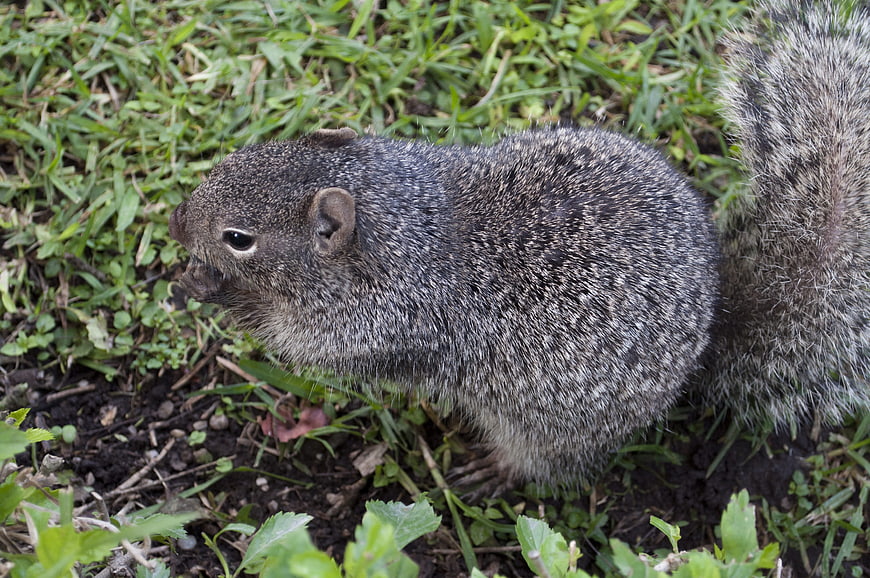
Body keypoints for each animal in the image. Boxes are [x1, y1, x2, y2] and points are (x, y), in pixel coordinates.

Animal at [168, 0, 869, 491]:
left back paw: (497, 470)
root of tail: (710, 327)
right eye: (243, 154)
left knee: (546, 464)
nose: (176, 224)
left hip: (554, 427)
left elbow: (300, 346)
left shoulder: (382, 324)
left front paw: (215, 290)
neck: (405, 223)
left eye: (239, 238)